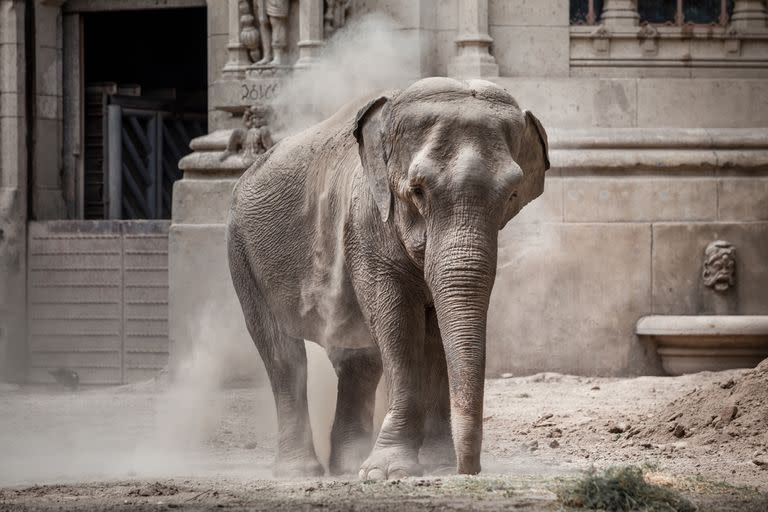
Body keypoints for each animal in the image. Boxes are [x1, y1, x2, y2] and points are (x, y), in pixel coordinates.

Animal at [225, 77, 548, 480]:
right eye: (418, 190)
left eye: (512, 194)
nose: (468, 470)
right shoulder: (366, 222)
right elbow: (397, 323)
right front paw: (389, 472)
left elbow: (433, 332)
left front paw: (435, 463)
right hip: (241, 250)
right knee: (283, 354)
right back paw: (301, 472)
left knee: (356, 359)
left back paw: (348, 465)